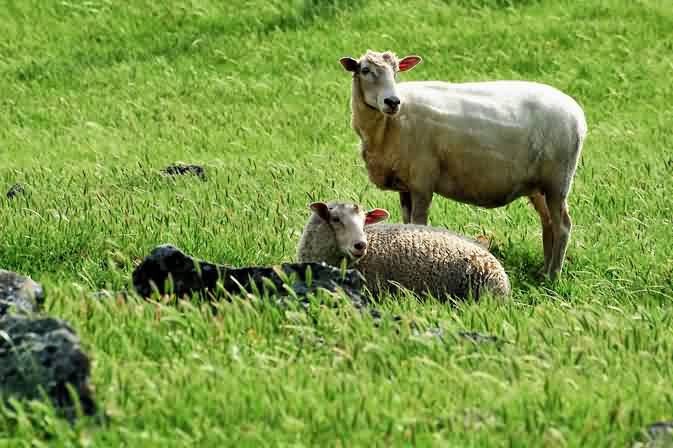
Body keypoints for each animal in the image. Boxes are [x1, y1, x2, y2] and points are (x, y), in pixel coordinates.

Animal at [338, 49, 584, 280]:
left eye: (396, 71)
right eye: (365, 70)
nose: (392, 102)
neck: (387, 126)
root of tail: (577, 113)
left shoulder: (422, 182)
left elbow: (419, 223)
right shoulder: (405, 185)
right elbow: (407, 222)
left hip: (558, 181)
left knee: (562, 225)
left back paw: (553, 276)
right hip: (539, 186)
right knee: (548, 222)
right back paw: (544, 270)